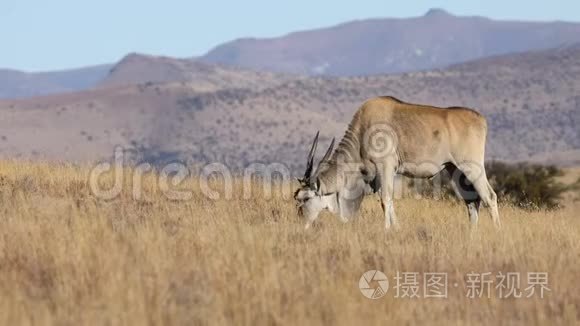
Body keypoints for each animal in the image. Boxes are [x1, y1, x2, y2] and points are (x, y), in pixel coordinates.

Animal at [296, 95, 500, 230]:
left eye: (305, 199)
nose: (301, 222)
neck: (363, 130)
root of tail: (480, 119)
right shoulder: (379, 176)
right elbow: (387, 201)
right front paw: (397, 229)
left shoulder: (385, 167)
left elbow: (386, 199)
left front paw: (387, 230)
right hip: (455, 170)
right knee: (472, 201)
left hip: (472, 167)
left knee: (489, 196)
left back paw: (496, 231)